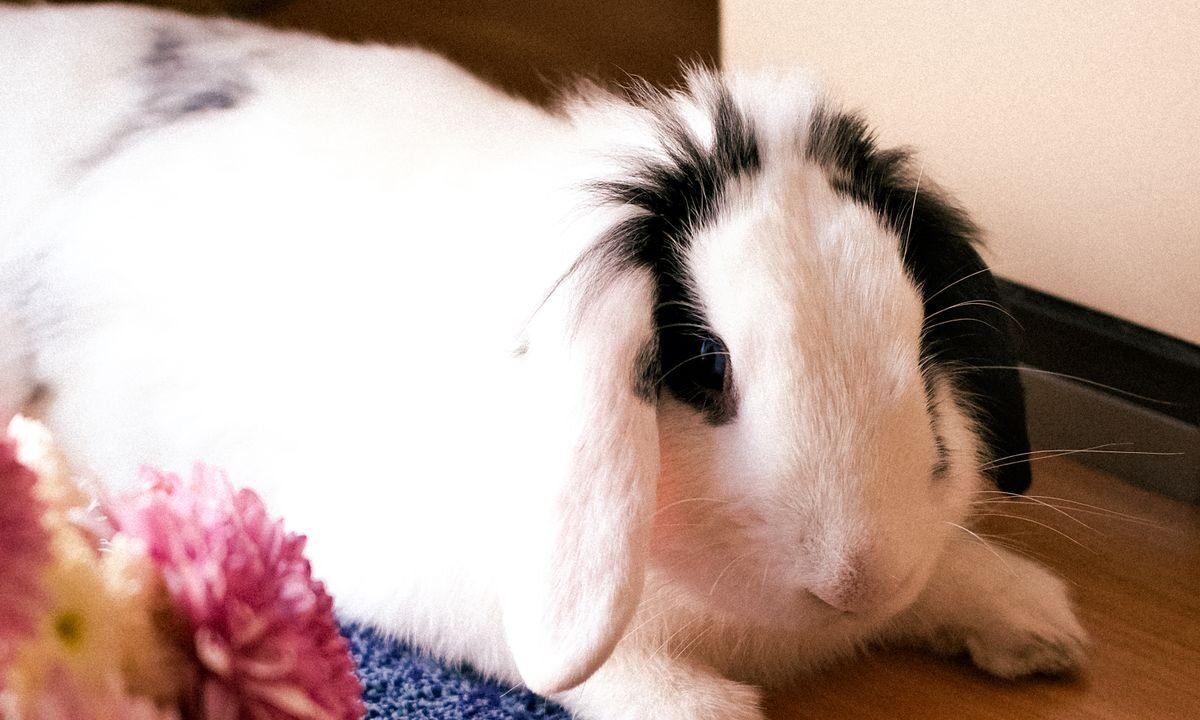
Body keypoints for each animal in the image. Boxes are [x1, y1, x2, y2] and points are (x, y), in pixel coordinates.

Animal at [0, 4, 1087, 719]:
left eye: (919, 344)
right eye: (707, 365)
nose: (856, 579)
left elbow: (950, 571)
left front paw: (1040, 630)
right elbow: (657, 692)